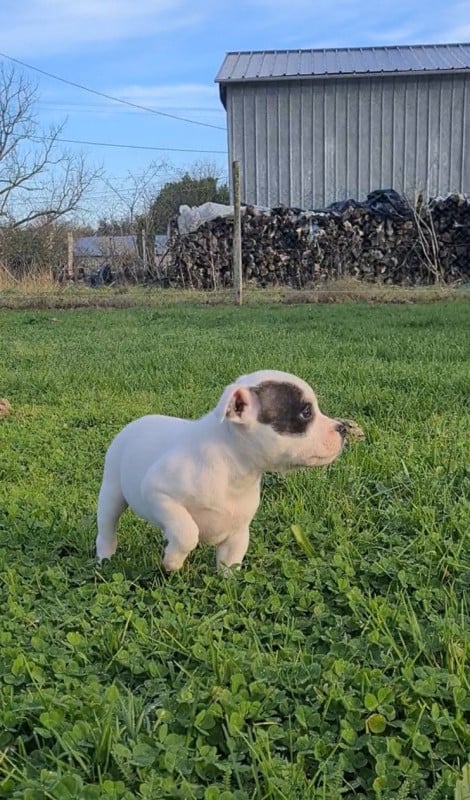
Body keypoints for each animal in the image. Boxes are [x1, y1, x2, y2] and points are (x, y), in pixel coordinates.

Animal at [96, 370, 348, 572]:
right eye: (306, 412)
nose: (343, 428)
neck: (233, 468)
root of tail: (138, 421)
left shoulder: (238, 533)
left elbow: (231, 563)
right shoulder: (158, 493)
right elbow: (188, 532)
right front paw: (172, 562)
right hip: (112, 494)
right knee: (107, 527)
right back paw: (105, 557)